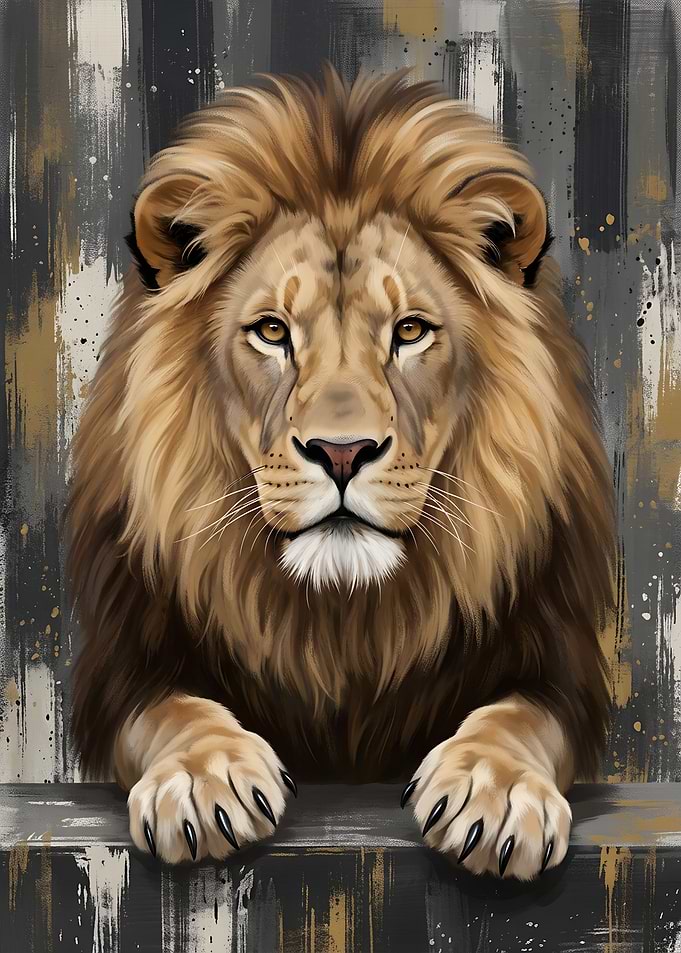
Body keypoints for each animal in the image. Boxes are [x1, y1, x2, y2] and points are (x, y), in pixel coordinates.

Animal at [64, 65, 615, 880]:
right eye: (272, 331)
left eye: (410, 331)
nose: (343, 452)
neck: (344, 620)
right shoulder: (125, 668)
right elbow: (172, 708)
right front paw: (205, 779)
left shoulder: (558, 665)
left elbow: (518, 717)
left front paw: (493, 791)